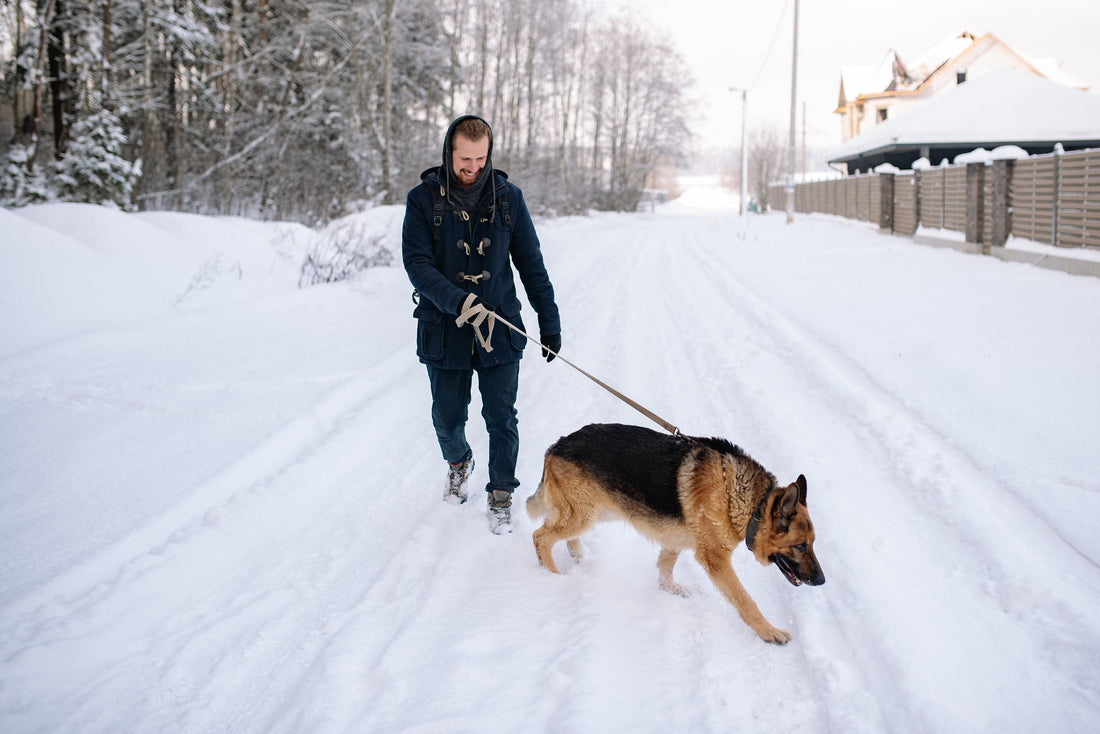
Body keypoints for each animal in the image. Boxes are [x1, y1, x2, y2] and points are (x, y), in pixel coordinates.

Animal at [525, 424, 827, 642]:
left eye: (813, 543)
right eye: (801, 546)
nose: (822, 581)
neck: (752, 503)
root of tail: (556, 445)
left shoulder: (675, 542)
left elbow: (665, 571)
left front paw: (675, 590)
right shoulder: (716, 561)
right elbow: (745, 600)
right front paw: (768, 631)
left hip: (593, 512)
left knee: (558, 533)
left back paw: (579, 557)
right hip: (583, 514)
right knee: (540, 536)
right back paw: (552, 576)